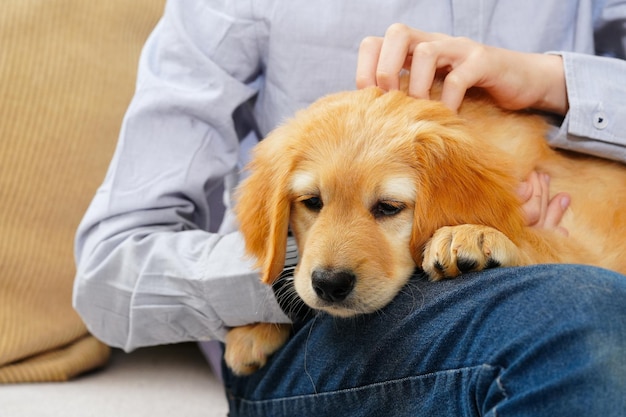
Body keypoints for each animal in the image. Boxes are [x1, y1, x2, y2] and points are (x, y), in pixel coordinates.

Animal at [223, 84, 624, 374]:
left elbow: (541, 239)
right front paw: (253, 329)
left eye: (388, 207)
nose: (329, 284)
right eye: (312, 202)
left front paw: (476, 234)